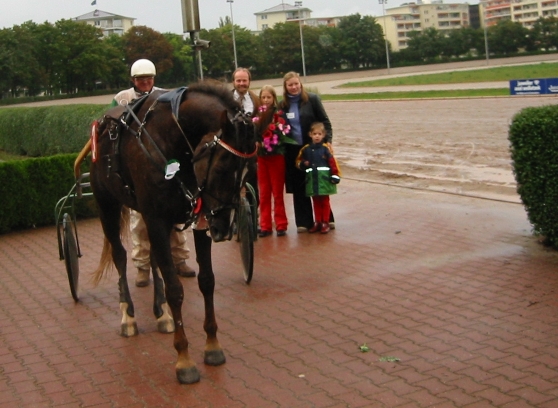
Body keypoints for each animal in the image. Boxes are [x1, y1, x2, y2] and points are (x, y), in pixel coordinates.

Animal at [89, 81, 258, 384]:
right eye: (223, 167)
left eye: (247, 171)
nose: (223, 228)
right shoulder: (157, 219)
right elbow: (176, 290)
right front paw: (184, 359)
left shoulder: (198, 218)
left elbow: (206, 281)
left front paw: (212, 346)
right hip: (107, 205)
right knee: (120, 256)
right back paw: (128, 316)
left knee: (156, 260)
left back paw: (161, 313)